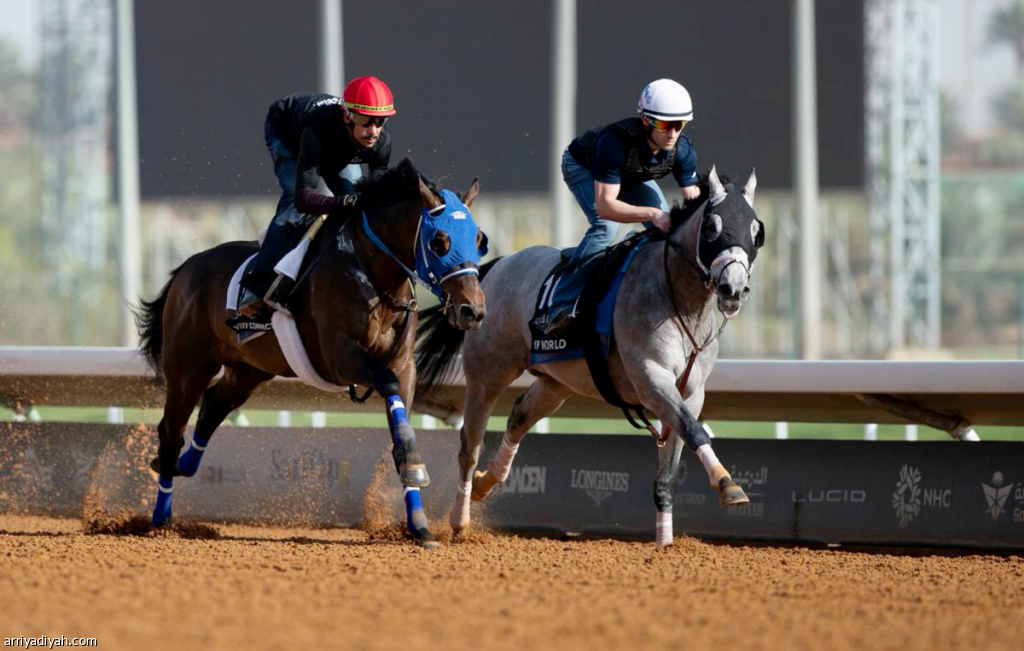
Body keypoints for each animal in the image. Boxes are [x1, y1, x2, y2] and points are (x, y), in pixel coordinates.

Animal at [134, 158, 488, 548]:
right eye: (439, 241)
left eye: (478, 239)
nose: (472, 310)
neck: (372, 274)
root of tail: (186, 268)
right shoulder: (339, 357)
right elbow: (387, 385)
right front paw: (413, 468)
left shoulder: (404, 364)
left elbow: (400, 420)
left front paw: (419, 524)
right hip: (189, 366)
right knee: (171, 429)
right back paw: (161, 518)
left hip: (249, 369)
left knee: (213, 405)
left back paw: (183, 466)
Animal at [415, 166, 764, 546]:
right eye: (713, 226)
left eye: (755, 230)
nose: (735, 288)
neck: (680, 303)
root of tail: (491, 269)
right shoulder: (651, 378)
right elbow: (694, 430)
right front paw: (727, 484)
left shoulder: (691, 392)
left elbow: (672, 466)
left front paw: (665, 541)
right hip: (487, 373)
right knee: (470, 444)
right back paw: (460, 519)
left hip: (557, 383)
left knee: (519, 416)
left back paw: (485, 482)